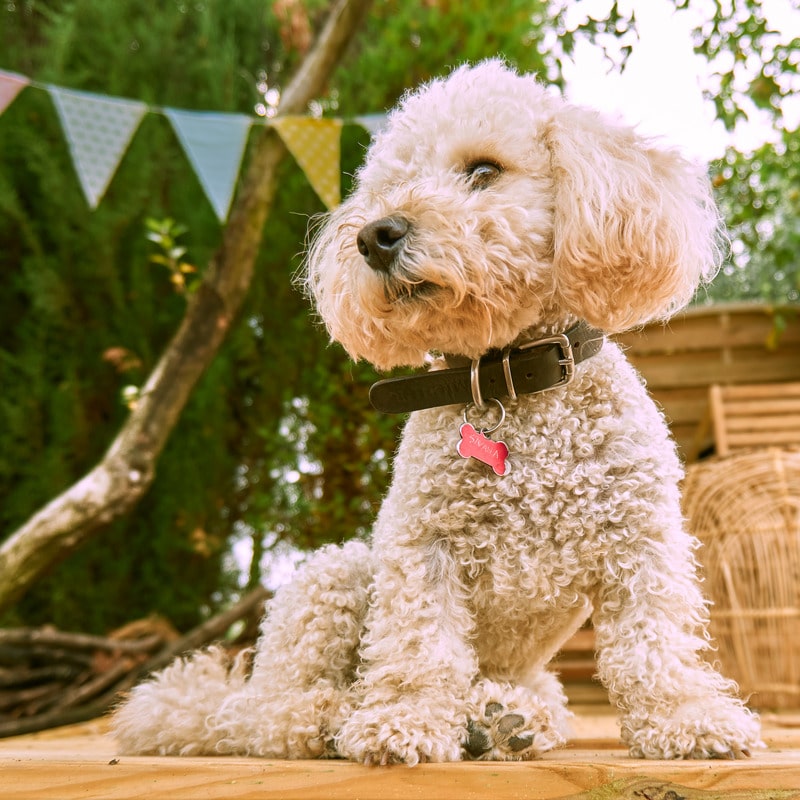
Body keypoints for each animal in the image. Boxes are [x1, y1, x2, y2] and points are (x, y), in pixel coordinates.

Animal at [114, 61, 764, 764]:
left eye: (483, 170)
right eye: (386, 189)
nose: (375, 235)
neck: (505, 381)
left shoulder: (642, 541)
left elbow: (655, 642)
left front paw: (687, 717)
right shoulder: (421, 547)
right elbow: (418, 643)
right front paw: (403, 720)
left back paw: (503, 720)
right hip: (335, 576)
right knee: (267, 717)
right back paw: (335, 716)